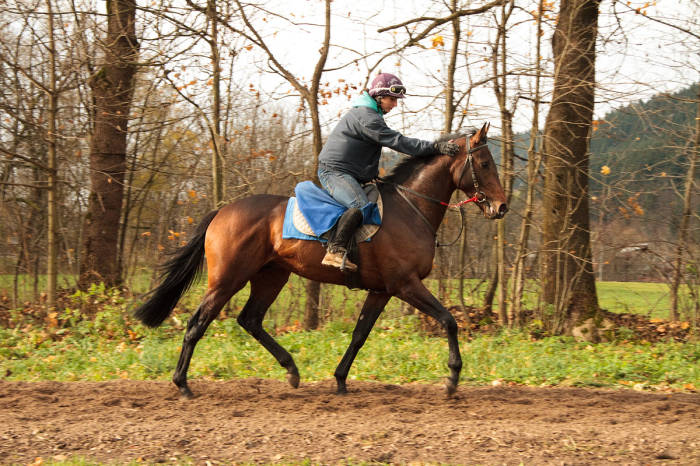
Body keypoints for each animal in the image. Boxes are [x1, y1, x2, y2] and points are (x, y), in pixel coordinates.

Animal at [135, 122, 508, 398]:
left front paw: (341, 379)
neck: (410, 207)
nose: (502, 207)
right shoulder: (405, 284)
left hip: (271, 276)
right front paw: (452, 378)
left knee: (250, 319)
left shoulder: (382, 290)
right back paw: (182, 384)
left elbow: (360, 334)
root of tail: (222, 212)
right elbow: (448, 320)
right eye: (485, 163)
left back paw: (291, 370)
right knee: (198, 323)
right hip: (227, 279)